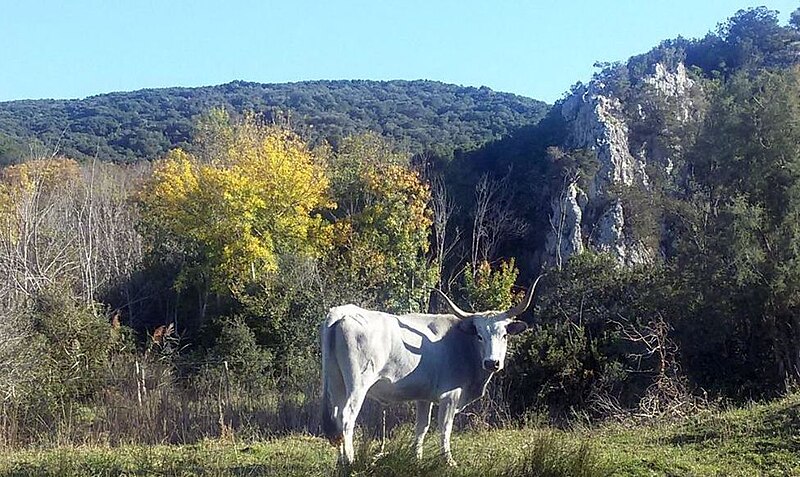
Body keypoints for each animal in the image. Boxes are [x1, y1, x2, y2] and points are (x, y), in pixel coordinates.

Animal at [318, 278, 536, 464]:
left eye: (504, 335)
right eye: (480, 335)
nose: (492, 363)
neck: (461, 344)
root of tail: (343, 312)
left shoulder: (423, 398)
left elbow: (421, 428)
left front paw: (417, 458)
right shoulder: (450, 396)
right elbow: (445, 428)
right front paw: (448, 461)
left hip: (337, 382)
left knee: (337, 416)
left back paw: (340, 462)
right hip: (358, 385)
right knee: (347, 418)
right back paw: (350, 460)